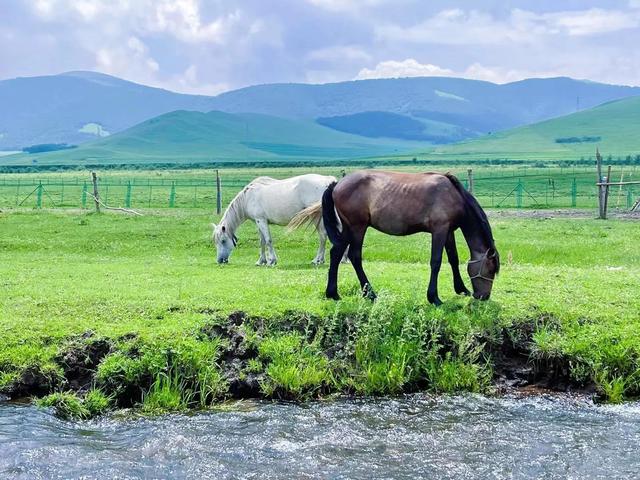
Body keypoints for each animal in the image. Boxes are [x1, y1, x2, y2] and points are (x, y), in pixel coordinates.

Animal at [292, 171, 500, 306]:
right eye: (490, 270)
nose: (483, 297)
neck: (453, 195)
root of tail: (337, 184)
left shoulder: (448, 231)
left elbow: (453, 259)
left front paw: (461, 289)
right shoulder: (439, 230)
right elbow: (436, 262)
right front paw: (434, 297)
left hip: (350, 228)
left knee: (337, 253)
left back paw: (334, 293)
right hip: (357, 227)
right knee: (353, 256)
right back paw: (368, 294)